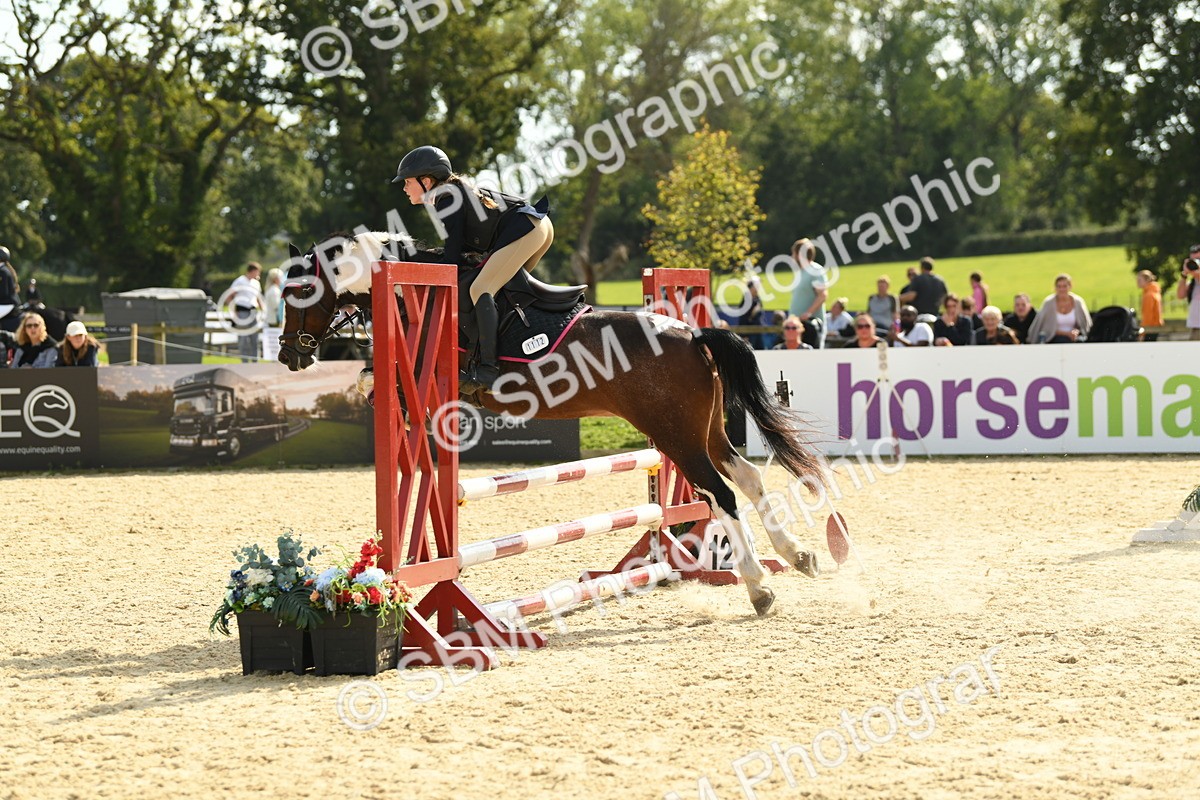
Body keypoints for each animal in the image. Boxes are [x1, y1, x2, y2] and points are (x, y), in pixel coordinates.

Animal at [278, 231, 825, 616]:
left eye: (299, 292)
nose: (289, 356)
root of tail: (693, 334)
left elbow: (377, 379)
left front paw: (375, 392)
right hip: (703, 432)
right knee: (747, 477)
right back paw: (796, 555)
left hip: (678, 437)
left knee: (721, 493)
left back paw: (758, 586)